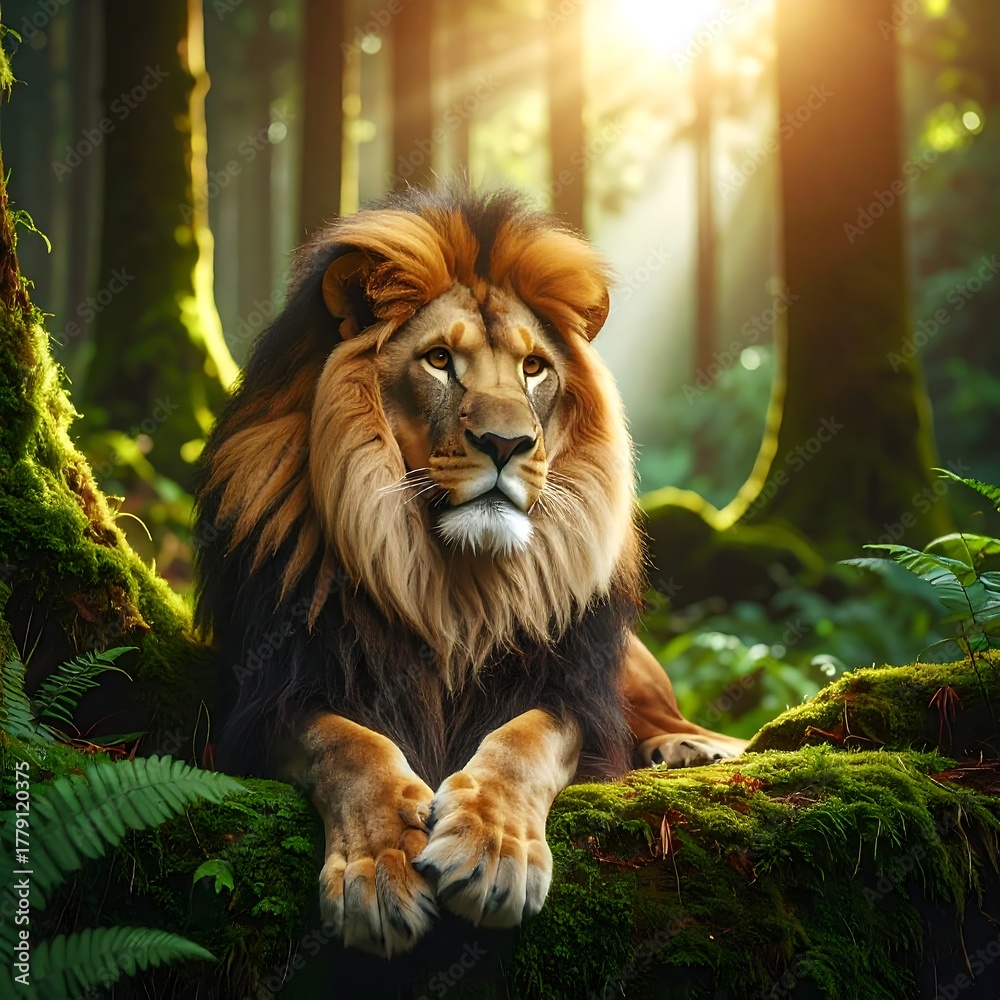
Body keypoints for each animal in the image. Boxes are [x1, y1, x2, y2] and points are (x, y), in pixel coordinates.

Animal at [193, 187, 745, 958]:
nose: (506, 443)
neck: (451, 586)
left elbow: (523, 741)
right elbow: (351, 743)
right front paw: (377, 872)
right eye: (438, 360)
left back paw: (692, 747)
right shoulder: (272, 695)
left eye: (534, 368)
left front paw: (492, 852)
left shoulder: (570, 691)